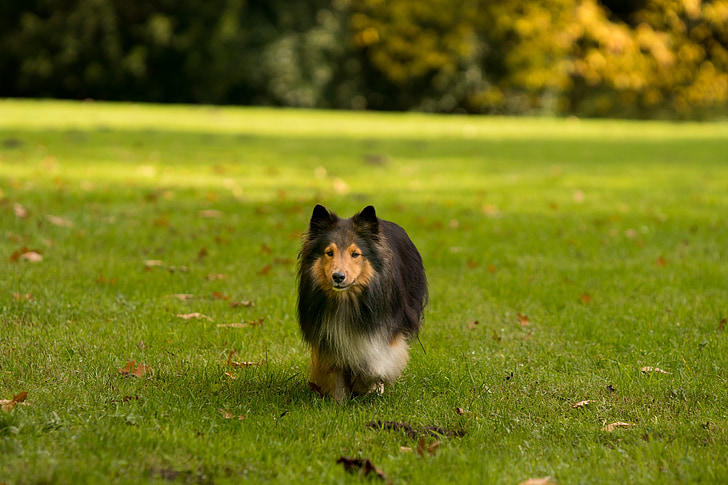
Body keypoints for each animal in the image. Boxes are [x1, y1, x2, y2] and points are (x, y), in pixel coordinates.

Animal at [296, 204, 426, 400]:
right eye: (329, 253)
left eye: (355, 254)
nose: (338, 277)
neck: (346, 301)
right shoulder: (328, 334)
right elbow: (335, 369)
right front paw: (338, 400)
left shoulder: (385, 331)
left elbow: (375, 364)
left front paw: (364, 385)